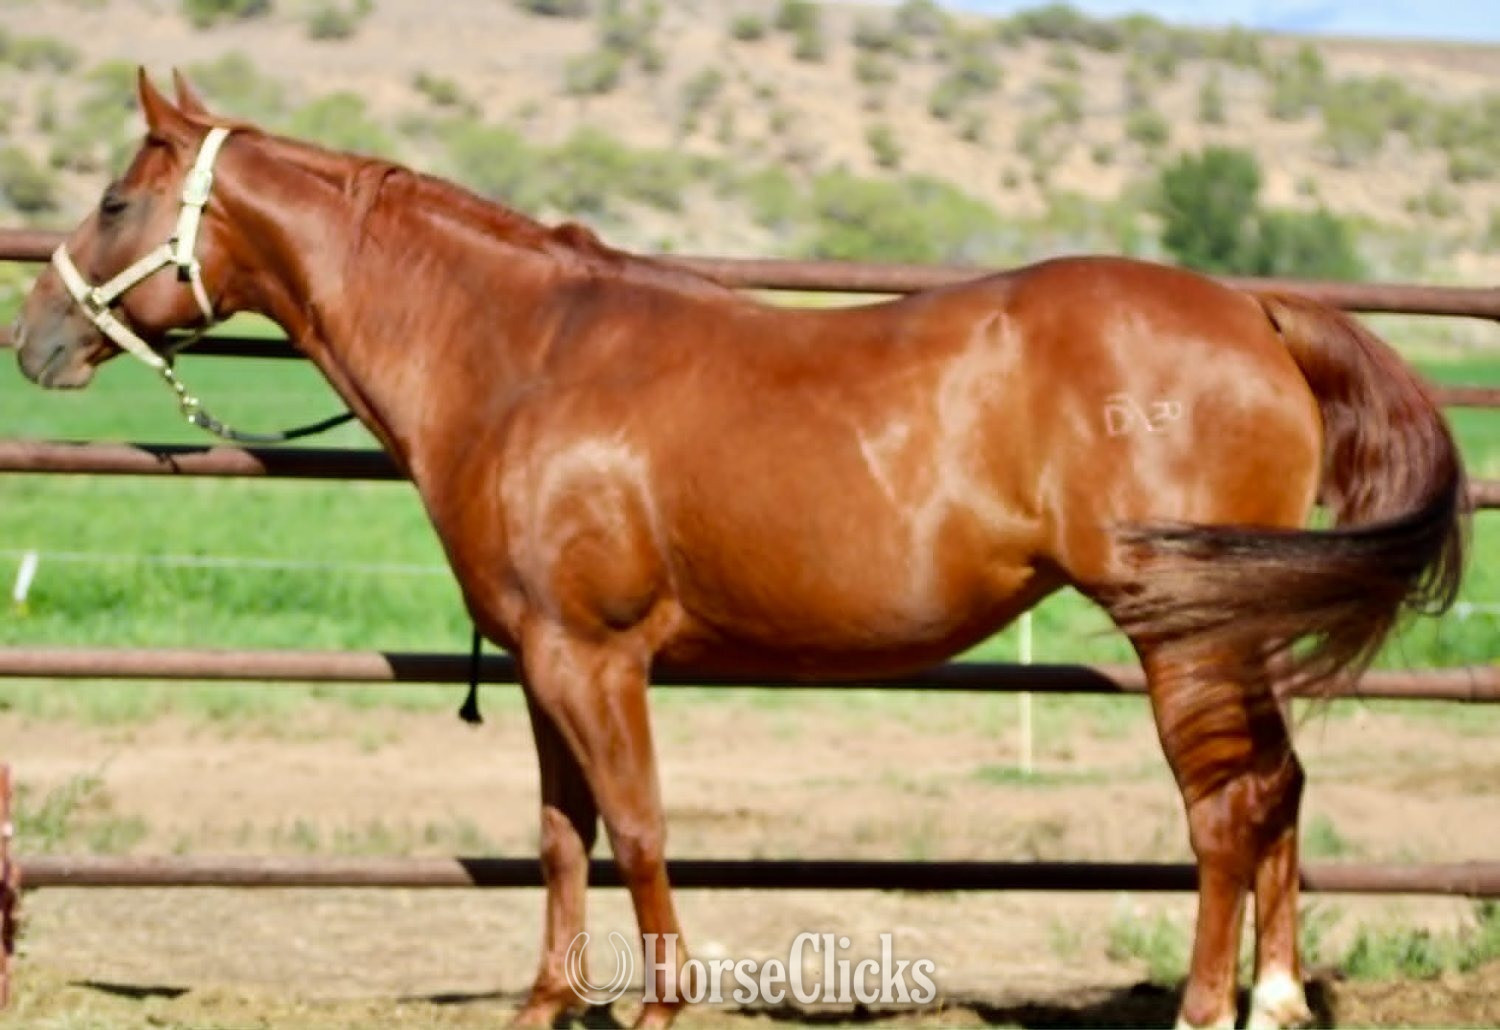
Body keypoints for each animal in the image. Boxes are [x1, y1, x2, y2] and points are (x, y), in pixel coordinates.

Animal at [10, 71, 1466, 1029]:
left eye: (114, 199)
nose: (36, 336)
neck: (520, 357)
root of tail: (1256, 311)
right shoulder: (540, 659)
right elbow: (561, 836)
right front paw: (547, 1003)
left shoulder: (596, 658)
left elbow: (641, 827)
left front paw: (662, 1006)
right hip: (1236, 629)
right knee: (1279, 788)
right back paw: (1276, 998)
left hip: (1185, 633)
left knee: (1223, 808)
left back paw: (1212, 1005)